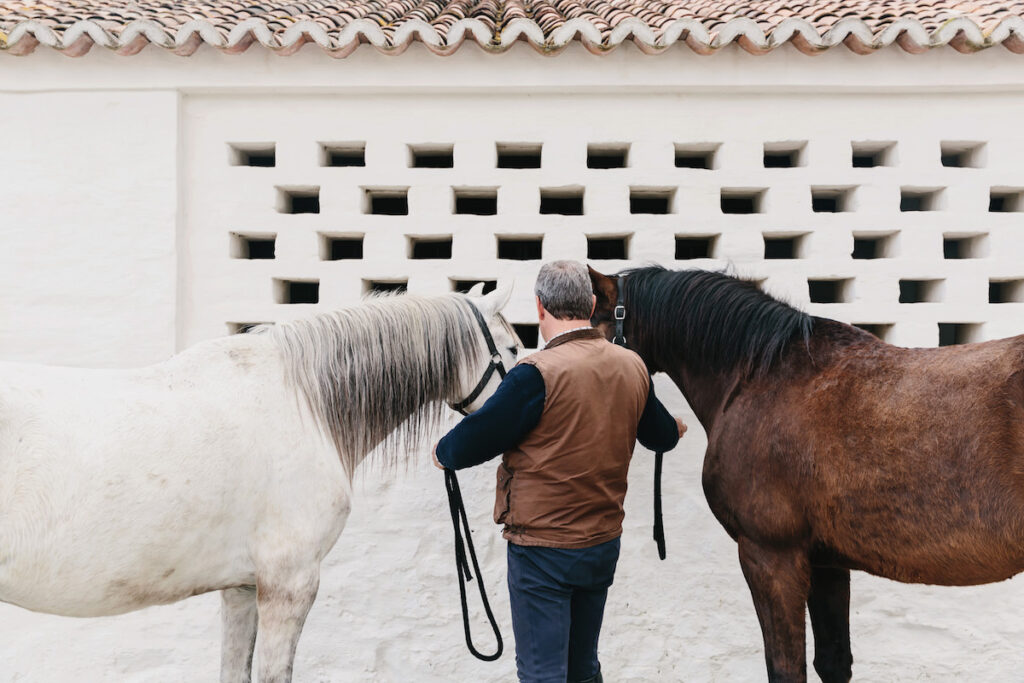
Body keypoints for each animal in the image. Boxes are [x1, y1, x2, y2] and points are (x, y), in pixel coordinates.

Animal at [588, 265, 1024, 683]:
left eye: (593, 328)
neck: (759, 376)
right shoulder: (826, 562)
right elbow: (833, 662)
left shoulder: (770, 557)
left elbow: (785, 668)